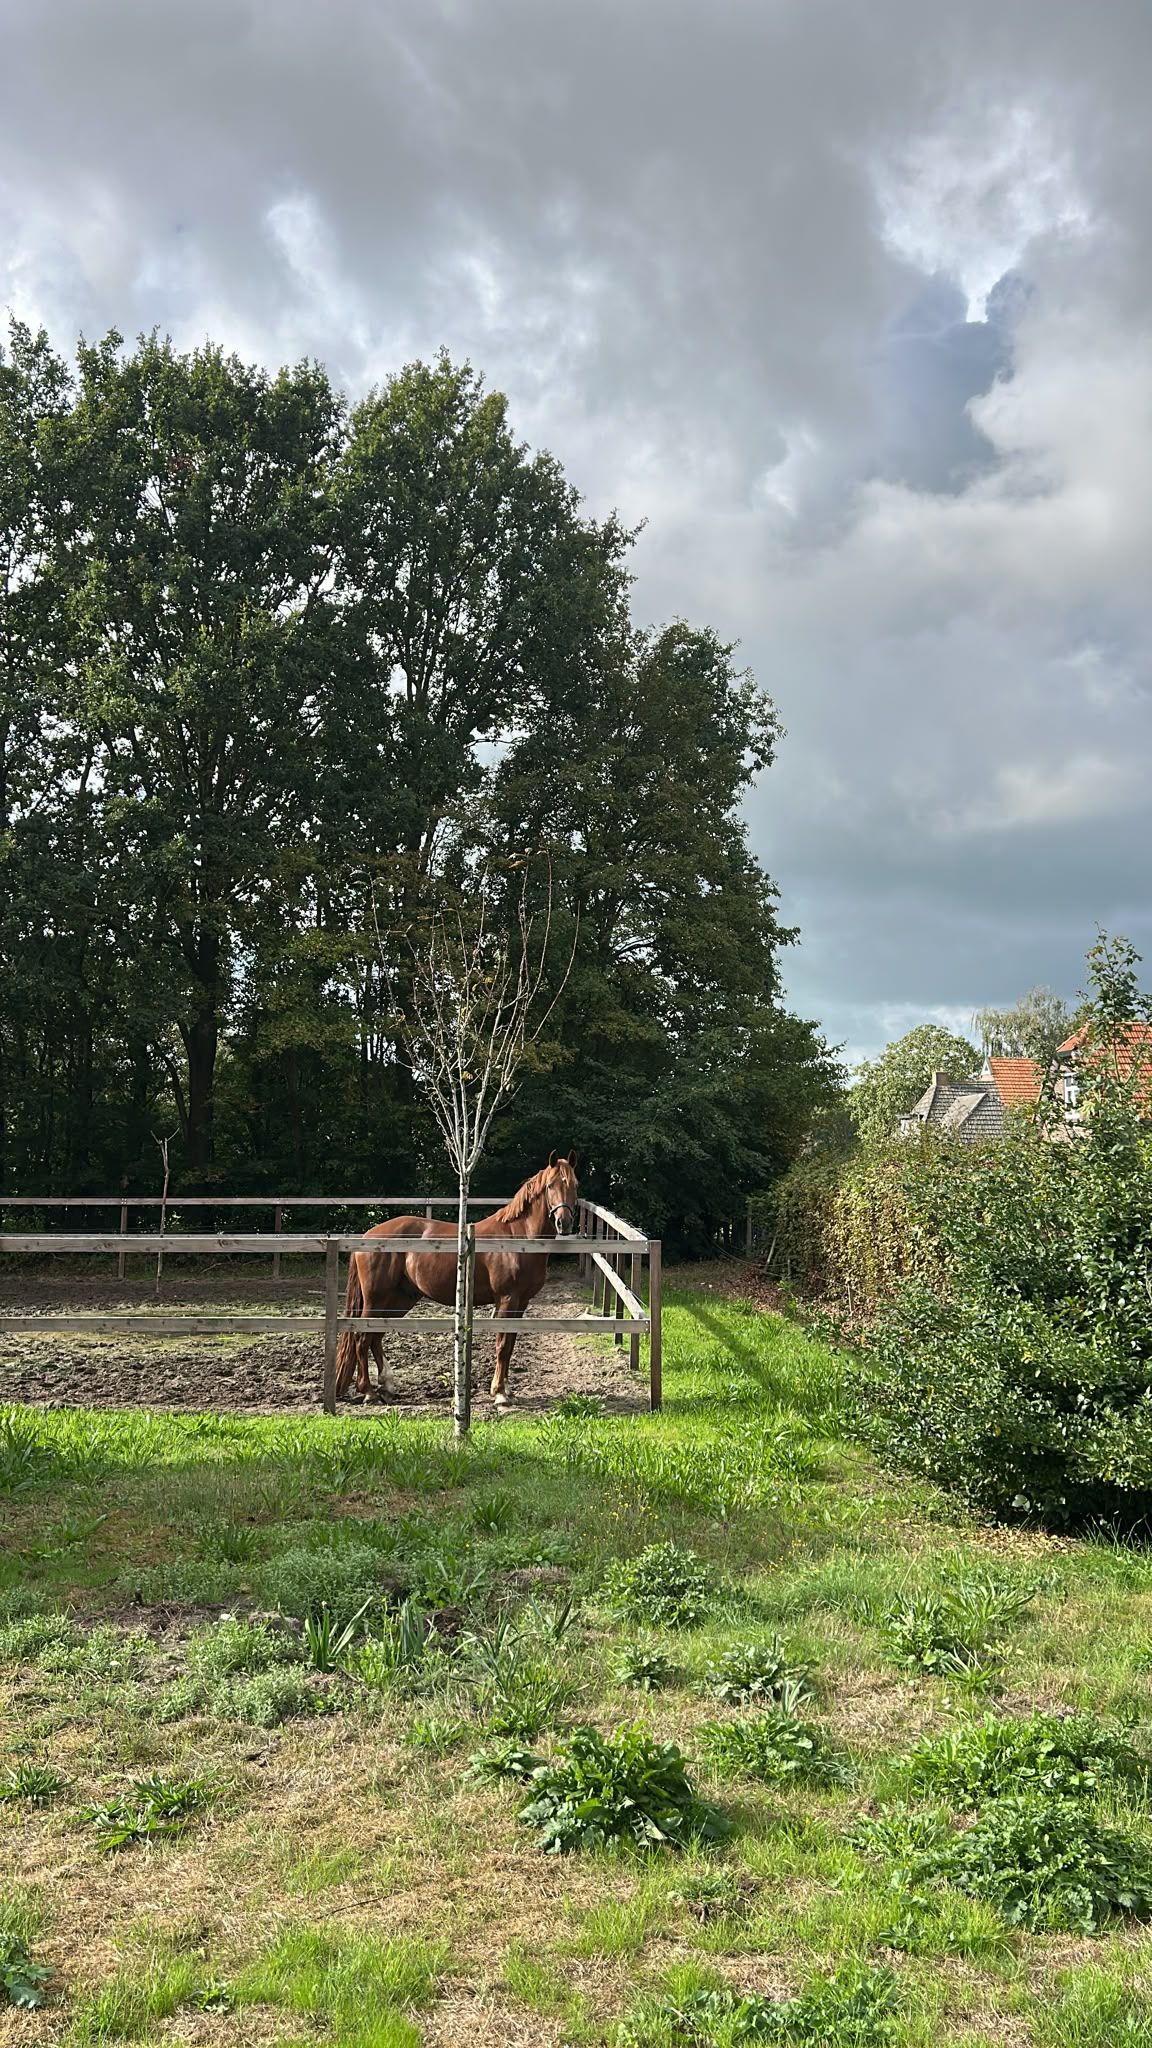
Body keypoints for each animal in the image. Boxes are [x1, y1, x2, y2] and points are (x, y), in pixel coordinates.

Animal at [333, 1152, 580, 1407]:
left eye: (575, 1185)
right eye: (550, 1185)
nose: (564, 1223)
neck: (516, 1237)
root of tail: (368, 1235)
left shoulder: (521, 1303)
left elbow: (510, 1343)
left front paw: (507, 1390)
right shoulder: (507, 1299)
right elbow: (502, 1345)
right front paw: (499, 1393)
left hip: (400, 1299)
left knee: (375, 1336)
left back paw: (387, 1385)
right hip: (377, 1299)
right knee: (362, 1337)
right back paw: (368, 1391)